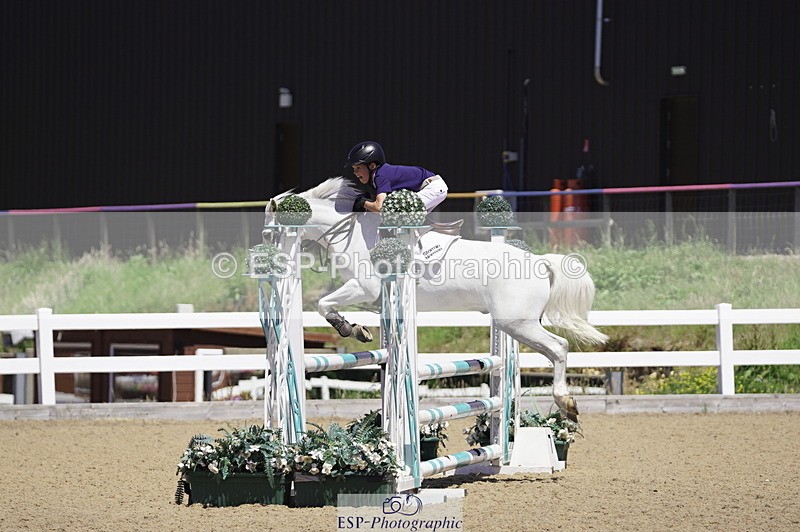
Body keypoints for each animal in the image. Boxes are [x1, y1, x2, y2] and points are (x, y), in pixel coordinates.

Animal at [265, 177, 608, 418]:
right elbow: (329, 303)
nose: (272, 259)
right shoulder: (373, 296)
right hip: (517, 324)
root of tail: (539, 261)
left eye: (270, 231)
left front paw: (348, 328)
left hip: (516, 323)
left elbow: (323, 303)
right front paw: (359, 329)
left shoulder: (366, 287)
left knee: (559, 347)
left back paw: (566, 403)